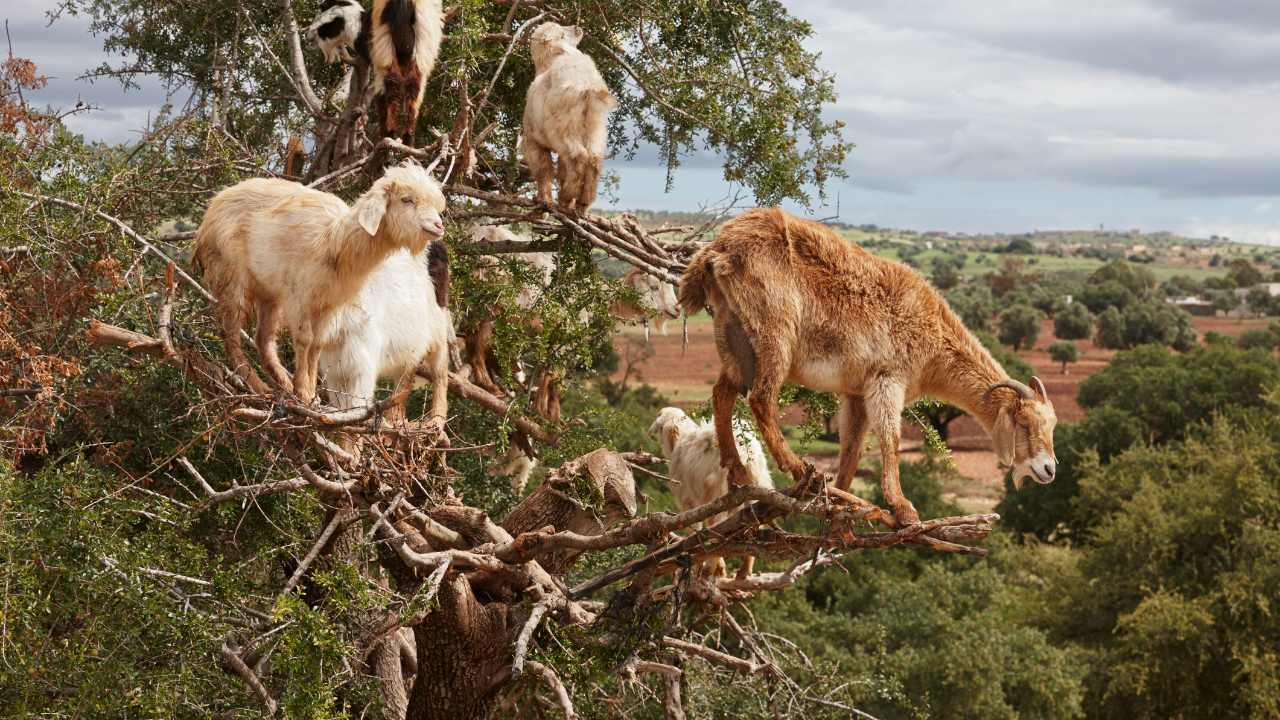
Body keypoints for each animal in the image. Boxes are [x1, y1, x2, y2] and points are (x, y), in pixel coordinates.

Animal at [192, 159, 448, 404]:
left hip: (269, 292)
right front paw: (304, 391)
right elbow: (304, 340)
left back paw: (284, 383)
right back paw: (259, 385)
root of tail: (214, 205)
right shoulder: (299, 298)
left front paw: (311, 392)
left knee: (263, 339)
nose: (438, 226)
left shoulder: (328, 305)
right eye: (407, 199)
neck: (335, 242)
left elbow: (317, 345)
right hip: (229, 274)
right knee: (230, 334)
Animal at [522, 22, 616, 211]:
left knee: (578, 156)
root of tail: (587, 84)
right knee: (593, 158)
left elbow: (543, 168)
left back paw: (565, 197)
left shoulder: (533, 139)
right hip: (595, 124)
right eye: (562, 34)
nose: (577, 27)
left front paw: (543, 200)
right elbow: (560, 169)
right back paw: (582, 202)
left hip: (563, 126)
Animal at [645, 407, 773, 573]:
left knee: (719, 526)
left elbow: (693, 526)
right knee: (753, 519)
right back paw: (744, 569)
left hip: (719, 492)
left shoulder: (688, 499)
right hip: (754, 482)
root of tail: (743, 449)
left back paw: (712, 566)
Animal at [680, 204, 1059, 525]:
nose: (1049, 469)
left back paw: (739, 472)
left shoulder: (856, 392)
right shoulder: (886, 379)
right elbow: (890, 438)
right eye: (1024, 423)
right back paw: (796, 467)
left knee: (723, 393)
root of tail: (719, 250)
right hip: (774, 334)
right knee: (760, 397)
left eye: (1051, 425)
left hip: (733, 334)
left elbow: (852, 446)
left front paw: (841, 499)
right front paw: (903, 508)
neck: (935, 334)